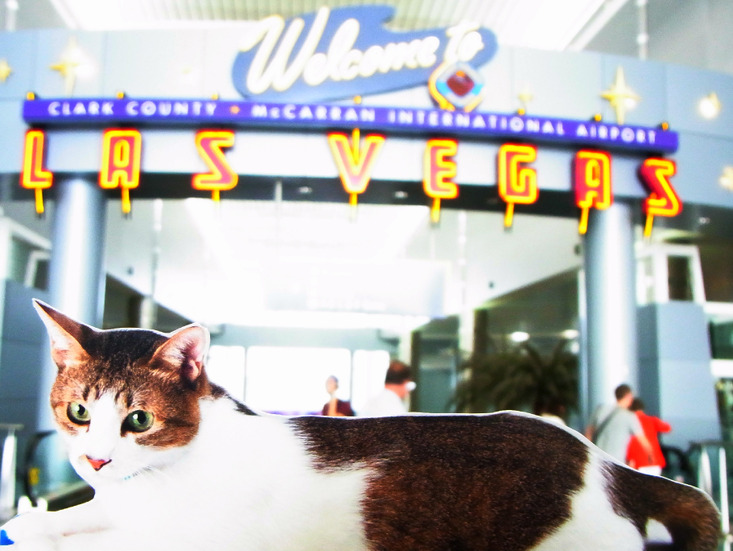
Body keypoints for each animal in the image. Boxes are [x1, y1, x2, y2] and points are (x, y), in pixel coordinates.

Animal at [0, 302, 720, 551]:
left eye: (139, 418)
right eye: (79, 411)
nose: (94, 462)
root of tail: (602, 463)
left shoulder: (195, 536)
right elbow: (74, 517)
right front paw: (37, 520)